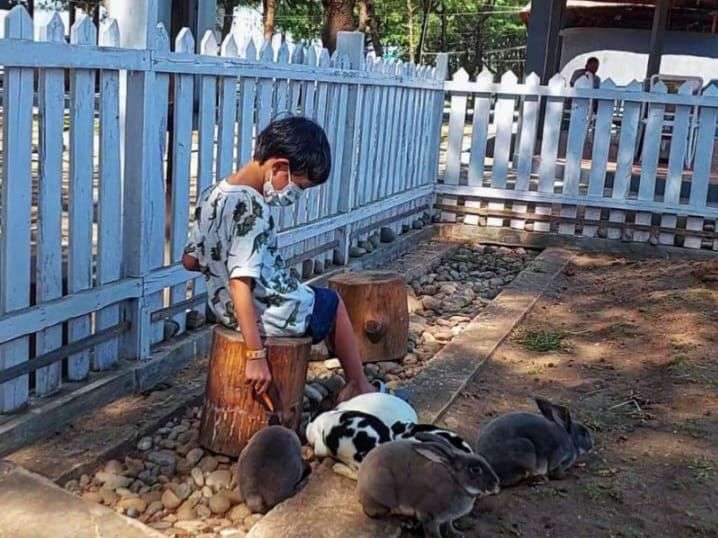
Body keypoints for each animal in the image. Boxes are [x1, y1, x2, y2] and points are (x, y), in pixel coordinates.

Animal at [356, 432, 500, 536]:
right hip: (384, 493)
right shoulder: (430, 516)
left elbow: (449, 525)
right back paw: (405, 522)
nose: (496, 483)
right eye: (475, 470)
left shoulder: (448, 518)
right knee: (377, 513)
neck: (456, 482)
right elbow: (434, 532)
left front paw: (458, 534)